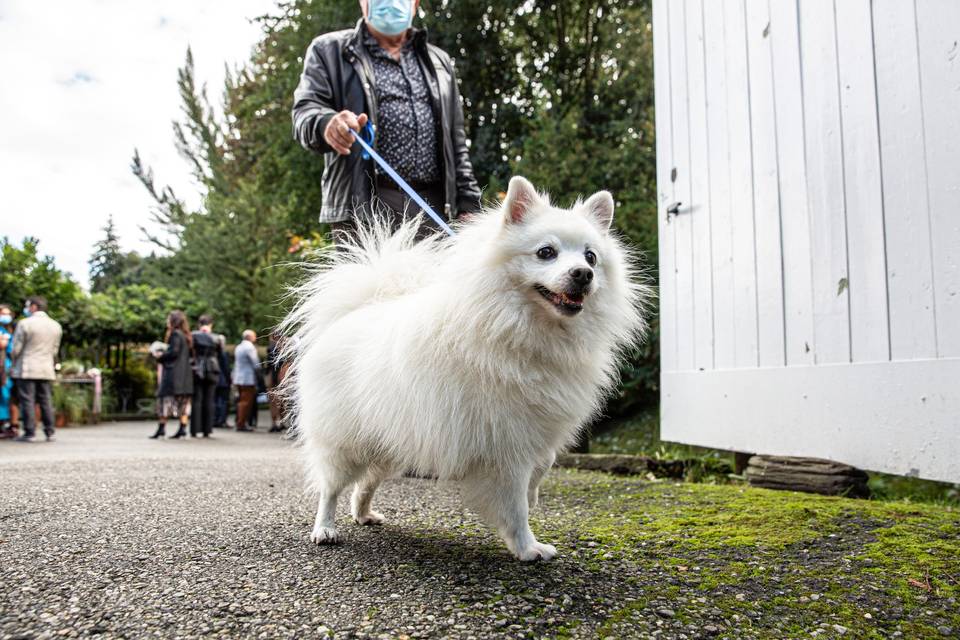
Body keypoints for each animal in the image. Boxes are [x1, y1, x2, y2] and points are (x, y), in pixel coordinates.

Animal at [284, 175, 644, 560]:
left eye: (591, 256)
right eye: (546, 252)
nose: (583, 274)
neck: (519, 328)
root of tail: (352, 313)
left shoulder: (534, 427)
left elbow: (545, 463)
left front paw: (534, 495)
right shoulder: (506, 443)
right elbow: (514, 504)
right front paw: (527, 547)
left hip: (391, 439)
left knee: (365, 483)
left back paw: (364, 513)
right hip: (345, 443)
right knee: (331, 487)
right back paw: (325, 529)